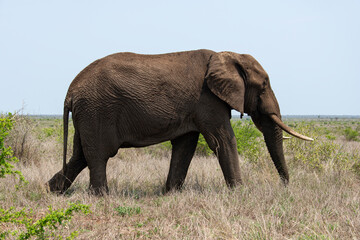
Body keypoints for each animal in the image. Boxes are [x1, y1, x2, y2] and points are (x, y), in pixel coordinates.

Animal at [47, 49, 312, 195]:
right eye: (264, 85)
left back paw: (53, 190)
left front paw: (171, 193)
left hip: (88, 114)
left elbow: (185, 147)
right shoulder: (207, 100)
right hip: (97, 110)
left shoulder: (195, 107)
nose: (284, 187)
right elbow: (223, 141)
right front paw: (240, 192)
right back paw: (101, 197)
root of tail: (71, 91)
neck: (227, 55)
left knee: (80, 155)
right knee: (99, 155)